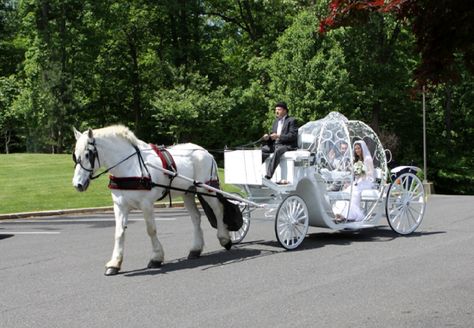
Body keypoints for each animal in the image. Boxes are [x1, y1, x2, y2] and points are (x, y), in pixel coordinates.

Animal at [71, 124, 231, 276]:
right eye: (75, 155)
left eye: (88, 154)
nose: (78, 184)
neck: (130, 166)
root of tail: (205, 151)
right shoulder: (120, 205)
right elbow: (119, 232)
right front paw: (114, 263)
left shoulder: (146, 204)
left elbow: (151, 230)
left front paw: (156, 258)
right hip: (188, 193)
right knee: (196, 218)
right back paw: (195, 249)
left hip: (206, 190)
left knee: (218, 210)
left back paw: (225, 239)